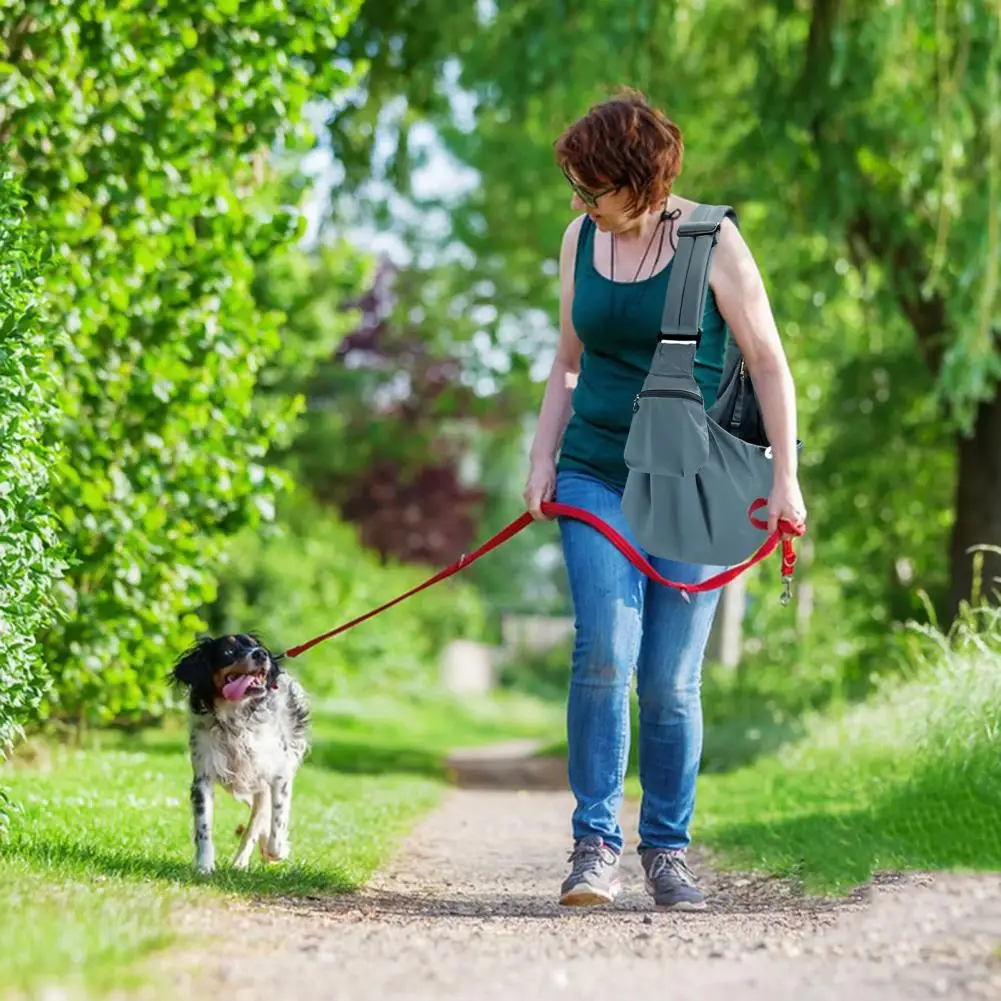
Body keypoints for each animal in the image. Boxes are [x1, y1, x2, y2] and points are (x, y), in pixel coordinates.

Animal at [172, 636, 306, 872]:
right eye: (228, 651)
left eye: (255, 644)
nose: (261, 653)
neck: (235, 720)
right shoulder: (203, 778)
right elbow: (203, 826)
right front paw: (204, 865)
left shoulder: (279, 774)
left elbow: (277, 818)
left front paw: (277, 850)